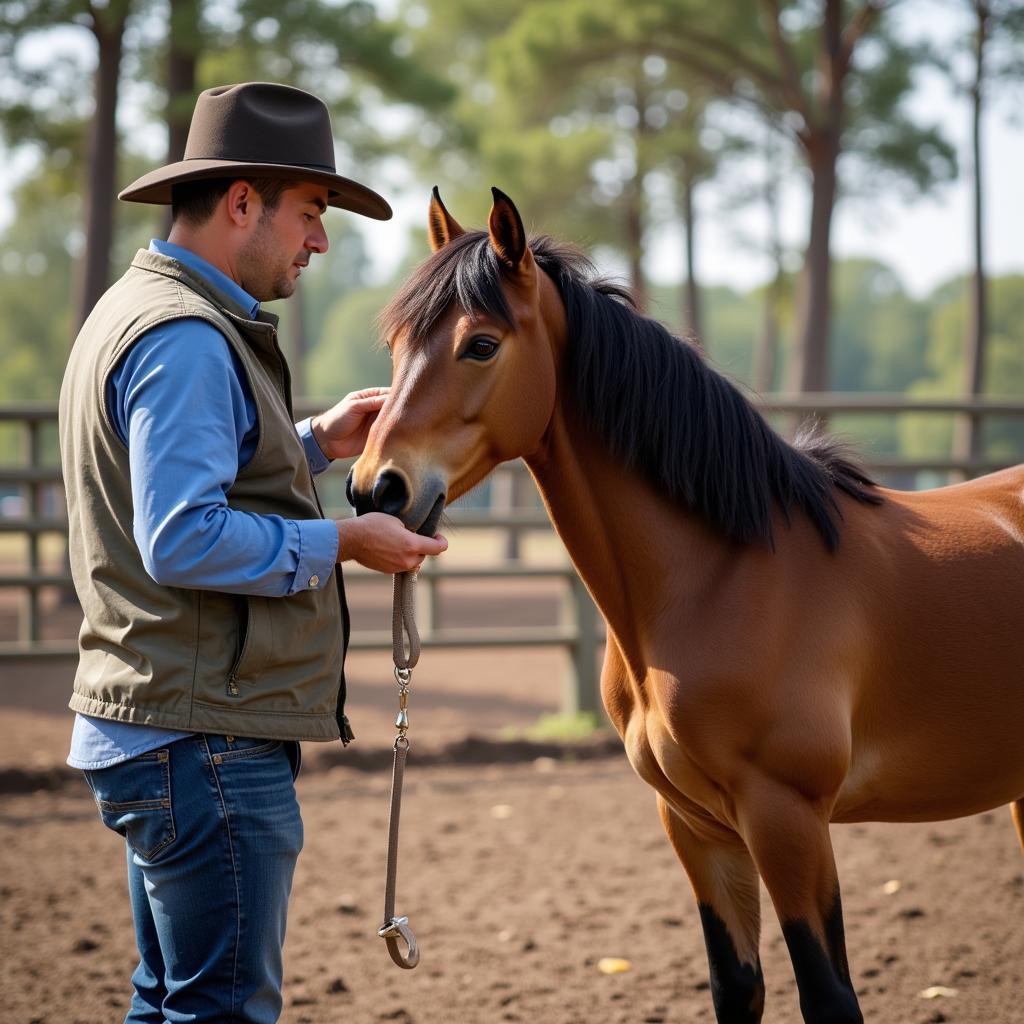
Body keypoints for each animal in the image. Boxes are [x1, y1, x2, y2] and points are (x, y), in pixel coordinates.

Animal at [350, 188, 1024, 1019]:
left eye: (480, 344)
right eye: (397, 344)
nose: (378, 489)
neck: (723, 579)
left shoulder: (788, 819)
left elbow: (828, 994)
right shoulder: (697, 826)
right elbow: (737, 984)